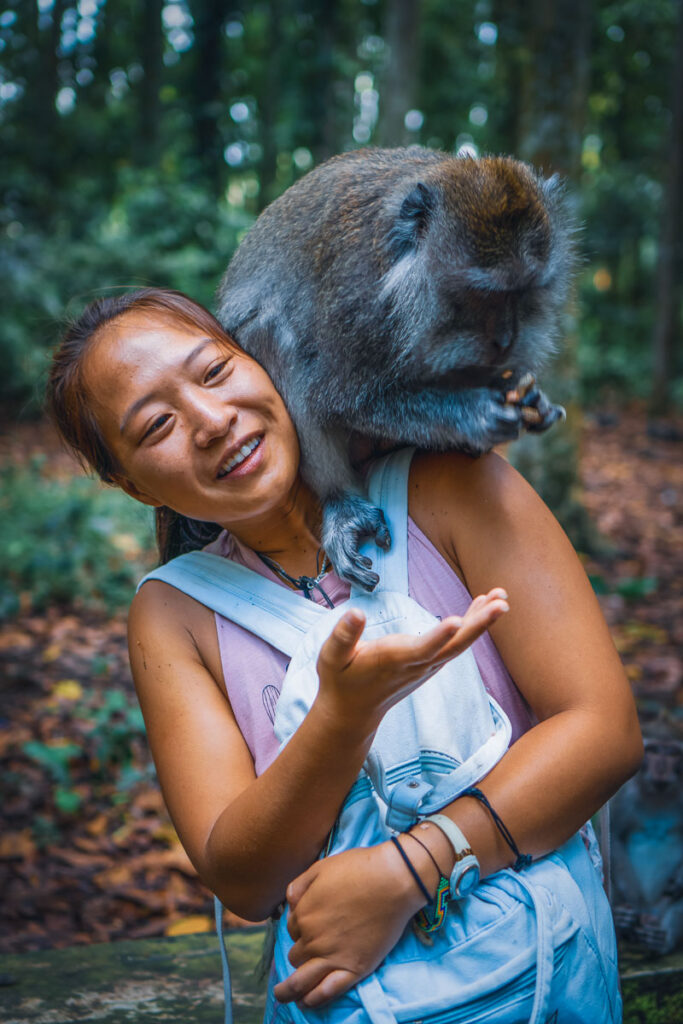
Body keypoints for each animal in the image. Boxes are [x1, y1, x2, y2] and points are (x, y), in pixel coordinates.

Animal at [216, 147, 573, 589]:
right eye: (484, 295)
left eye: (523, 293)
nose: (506, 338)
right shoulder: (353, 292)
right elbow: (339, 396)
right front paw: (473, 414)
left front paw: (532, 401)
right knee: (272, 331)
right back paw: (342, 502)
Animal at [610, 716, 683, 954]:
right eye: (653, 750)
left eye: (672, 753)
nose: (661, 769)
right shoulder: (624, 792)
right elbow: (615, 836)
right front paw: (631, 905)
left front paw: (679, 880)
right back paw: (623, 922)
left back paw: (660, 940)